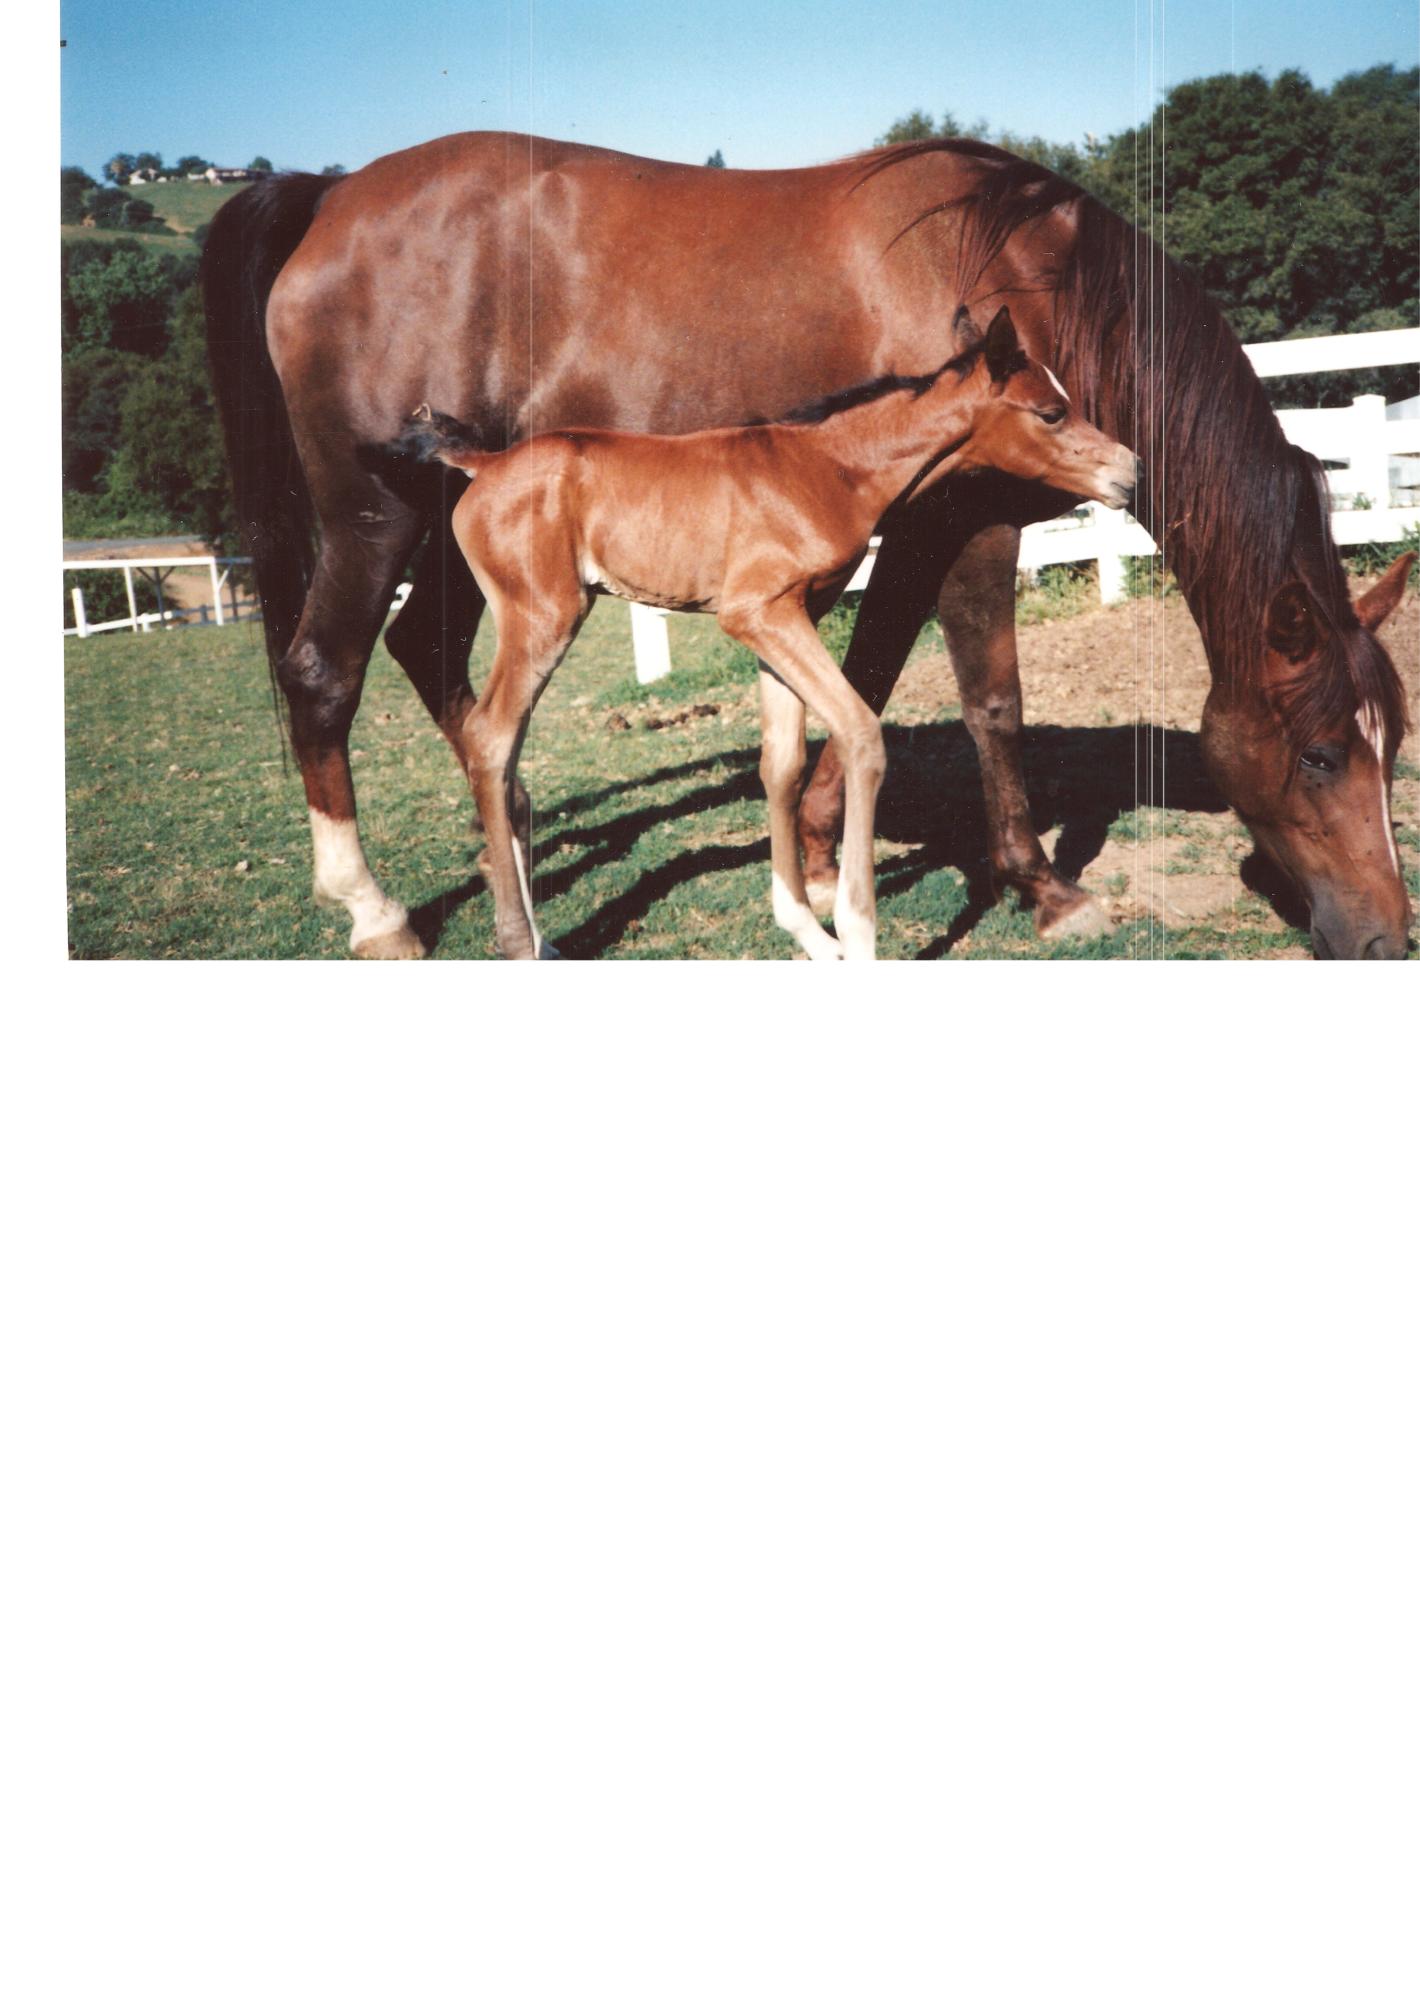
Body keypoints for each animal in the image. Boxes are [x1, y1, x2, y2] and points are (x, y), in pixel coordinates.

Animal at [393, 306, 1139, 960]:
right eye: (1051, 413)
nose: (1128, 470)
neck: (829, 470)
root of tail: (486, 465)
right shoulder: (759, 612)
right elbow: (861, 735)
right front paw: (856, 938)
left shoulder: (786, 620)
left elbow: (780, 766)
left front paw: (807, 931)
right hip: (543, 618)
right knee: (491, 740)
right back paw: (519, 943)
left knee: (504, 752)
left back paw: (538, 935)